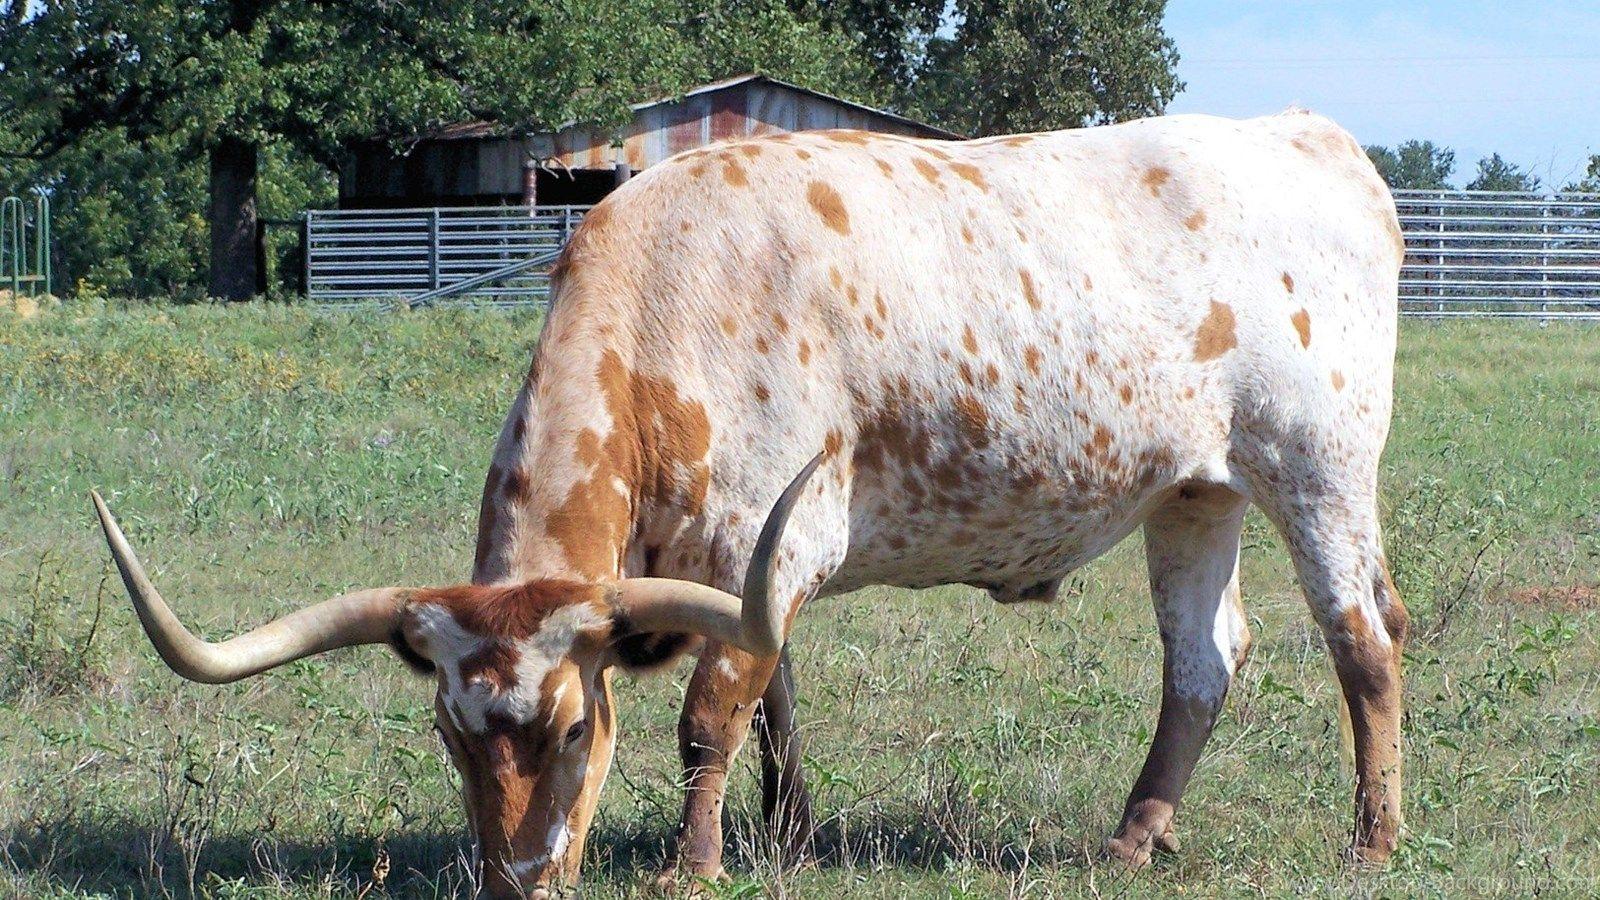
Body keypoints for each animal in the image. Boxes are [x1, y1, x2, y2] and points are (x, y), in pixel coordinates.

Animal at [96, 108, 1414, 890]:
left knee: (1364, 639)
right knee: (1203, 662)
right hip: (1196, 490)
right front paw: (787, 832)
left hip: (1319, 467)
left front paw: (696, 863)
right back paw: (1137, 835)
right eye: (450, 735)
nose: (520, 879)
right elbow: (772, 694)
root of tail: (1309, 136)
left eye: (570, 730)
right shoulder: (742, 576)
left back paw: (1372, 838)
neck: (664, 309)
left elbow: (709, 717)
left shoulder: (764, 540)